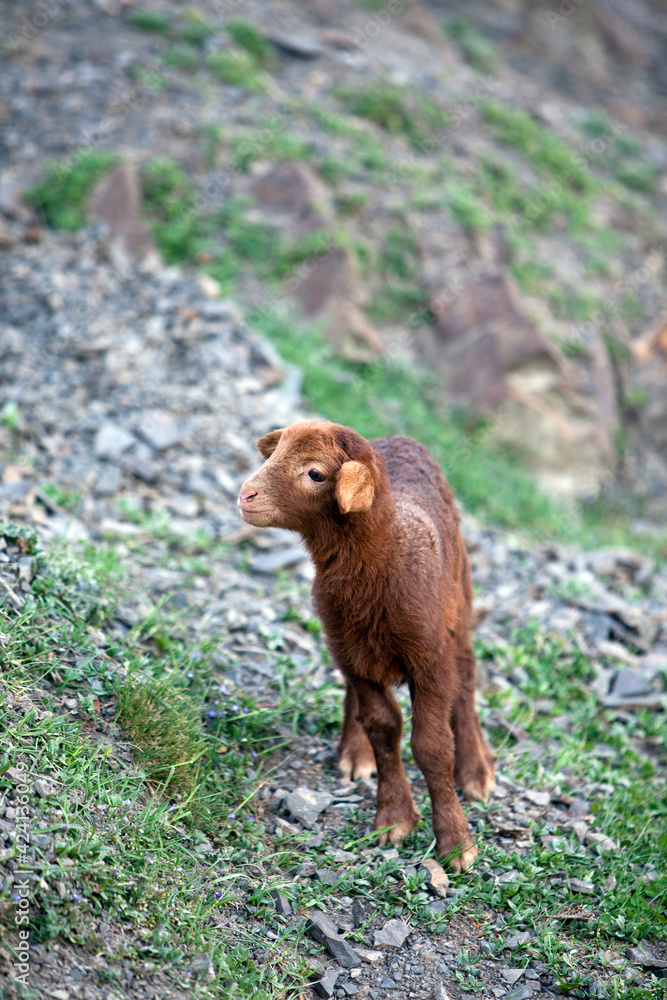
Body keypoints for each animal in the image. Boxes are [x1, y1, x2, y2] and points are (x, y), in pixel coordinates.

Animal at [238, 419, 495, 871]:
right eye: (275, 453)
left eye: (315, 473)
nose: (245, 495)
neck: (386, 560)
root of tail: (401, 437)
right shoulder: (353, 652)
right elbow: (383, 727)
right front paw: (393, 819)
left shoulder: (429, 659)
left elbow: (431, 746)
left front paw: (456, 844)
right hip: (343, 639)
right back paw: (354, 752)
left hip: (458, 605)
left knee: (466, 678)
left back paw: (475, 771)